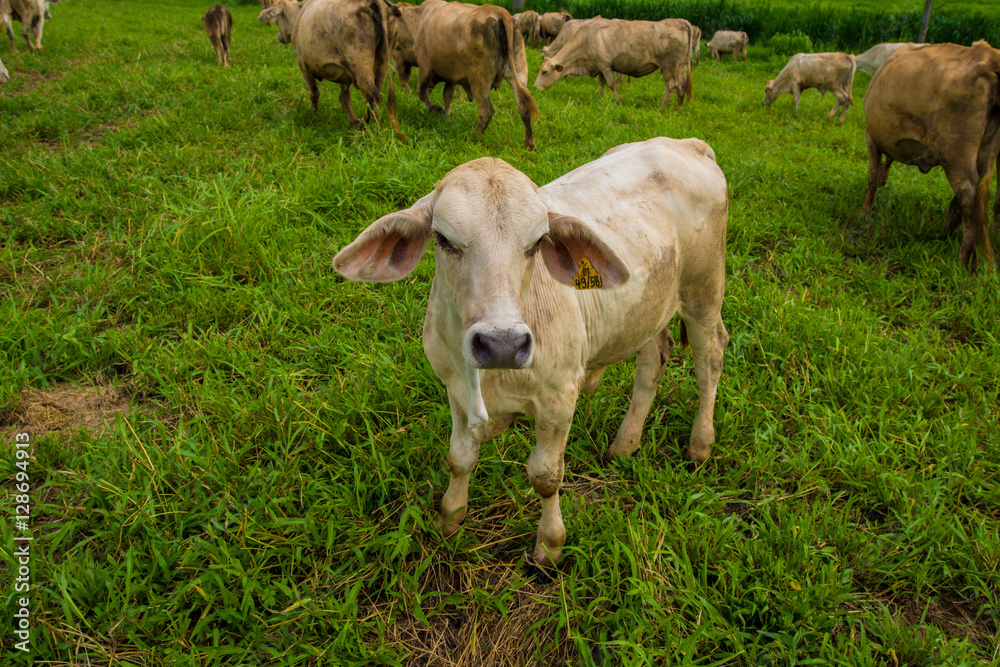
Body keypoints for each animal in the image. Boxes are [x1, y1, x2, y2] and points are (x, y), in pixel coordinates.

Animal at [259, 0, 404, 141]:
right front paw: (354, 122)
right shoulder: (345, 70)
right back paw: (365, 121)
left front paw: (315, 115)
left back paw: (374, 133)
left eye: (277, 20)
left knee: (374, 97)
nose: (278, 37)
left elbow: (314, 93)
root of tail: (373, 2)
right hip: (382, 62)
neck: (298, 15)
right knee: (375, 94)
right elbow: (344, 98)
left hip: (360, 64)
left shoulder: (302, 63)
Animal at [333, 137, 730, 567]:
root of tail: (687, 144)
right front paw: (450, 518)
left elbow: (545, 476)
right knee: (653, 359)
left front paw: (550, 544)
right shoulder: (455, 391)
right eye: (443, 239)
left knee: (710, 358)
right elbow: (459, 457)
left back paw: (700, 444)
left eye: (537, 243)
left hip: (704, 293)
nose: (502, 344)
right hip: (648, 310)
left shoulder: (558, 399)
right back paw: (625, 444)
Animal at [412, 0, 538, 150]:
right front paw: (445, 116)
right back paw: (529, 144)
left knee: (486, 111)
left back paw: (473, 134)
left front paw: (435, 109)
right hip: (518, 72)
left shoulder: (425, 67)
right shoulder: (451, 76)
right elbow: (447, 95)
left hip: (479, 79)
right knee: (524, 108)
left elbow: (421, 92)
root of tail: (500, 12)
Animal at [533, 18, 694, 110]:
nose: (534, 88)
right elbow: (602, 84)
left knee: (671, 87)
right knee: (681, 86)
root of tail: (680, 23)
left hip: (668, 67)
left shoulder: (604, 65)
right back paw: (678, 107)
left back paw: (661, 108)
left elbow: (612, 84)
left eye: (545, 72)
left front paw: (618, 103)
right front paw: (600, 100)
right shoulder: (599, 67)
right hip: (680, 66)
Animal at [862, 42, 1000, 270]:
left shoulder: (871, 137)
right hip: (986, 153)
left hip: (956, 155)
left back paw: (963, 258)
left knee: (967, 196)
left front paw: (867, 209)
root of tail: (987, 56)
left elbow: (873, 175)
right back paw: (944, 237)